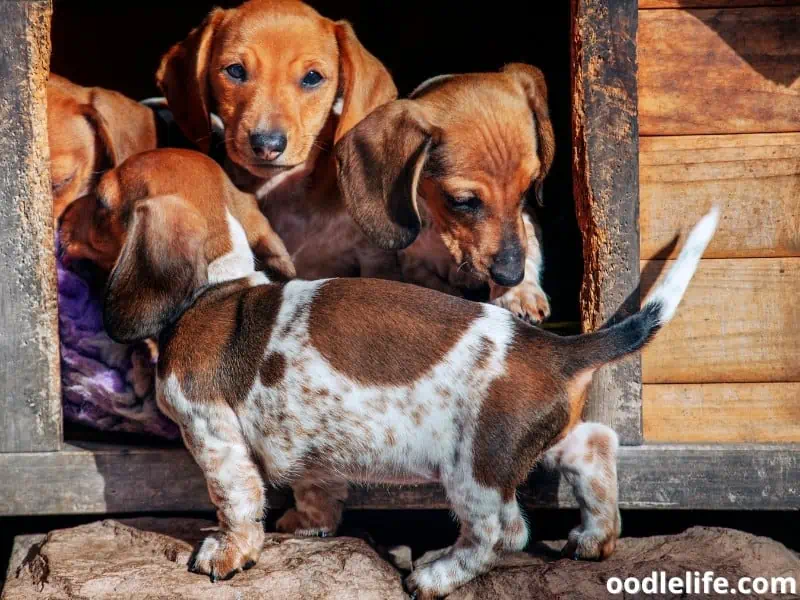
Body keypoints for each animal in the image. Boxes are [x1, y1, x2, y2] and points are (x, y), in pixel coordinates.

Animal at [100, 173, 720, 600]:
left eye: (103, 203)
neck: (217, 286)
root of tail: (552, 347)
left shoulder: (211, 434)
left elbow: (235, 503)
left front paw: (226, 555)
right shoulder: (308, 454)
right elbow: (314, 489)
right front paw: (308, 526)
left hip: (473, 471)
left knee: (502, 533)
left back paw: (436, 574)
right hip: (538, 440)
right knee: (593, 448)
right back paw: (595, 536)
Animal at [338, 63, 556, 324]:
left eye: (527, 190)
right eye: (462, 201)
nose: (511, 276)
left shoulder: (527, 222)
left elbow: (529, 246)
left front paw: (520, 292)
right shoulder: (413, 265)